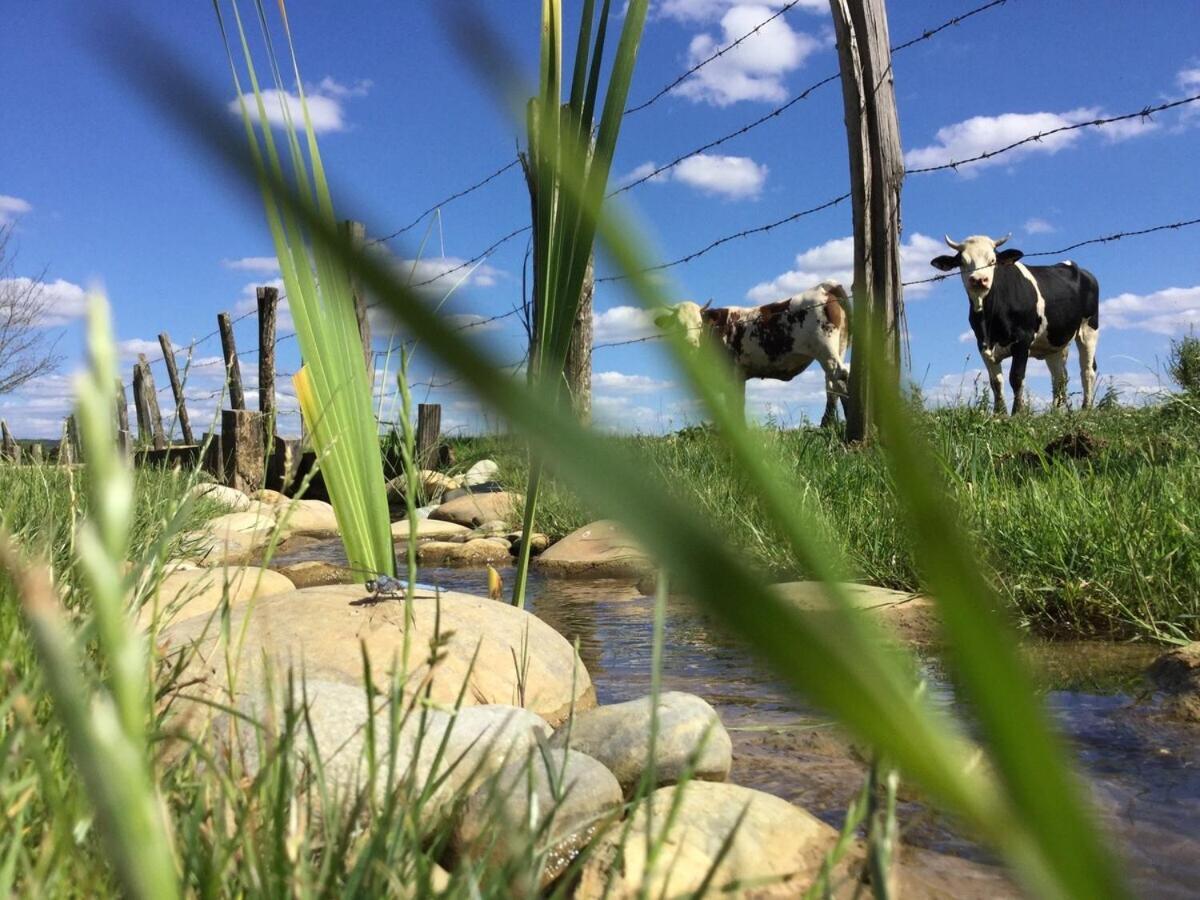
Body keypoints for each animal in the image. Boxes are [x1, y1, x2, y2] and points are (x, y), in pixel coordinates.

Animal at [657, 280, 854, 427]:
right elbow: (739, 405)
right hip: (838, 349)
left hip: (826, 349)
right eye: (677, 324)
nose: (690, 342)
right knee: (832, 384)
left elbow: (733, 407)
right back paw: (827, 425)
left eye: (699, 323)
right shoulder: (740, 376)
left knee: (840, 377)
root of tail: (824, 287)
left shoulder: (730, 373)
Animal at [931, 232, 1099, 415]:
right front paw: (999, 413)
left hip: (1089, 329)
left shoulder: (1023, 339)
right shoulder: (982, 344)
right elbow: (996, 382)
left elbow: (1016, 377)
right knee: (1060, 377)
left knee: (1087, 370)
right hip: (1054, 343)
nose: (979, 280)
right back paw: (1056, 411)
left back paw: (1086, 408)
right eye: (962, 262)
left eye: (992, 260)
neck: (989, 320)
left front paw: (1017, 412)